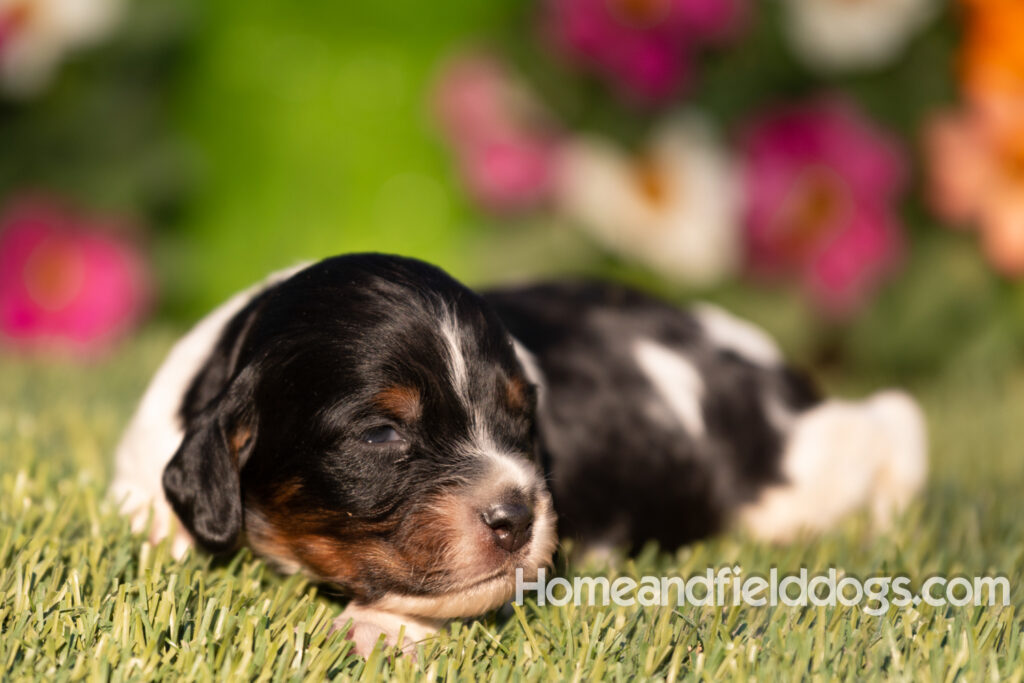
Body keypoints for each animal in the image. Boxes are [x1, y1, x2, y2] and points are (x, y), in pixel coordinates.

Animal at [110, 254, 929, 655]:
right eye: (381, 436)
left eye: (520, 416)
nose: (518, 515)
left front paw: (378, 630)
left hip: (807, 470)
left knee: (893, 422)